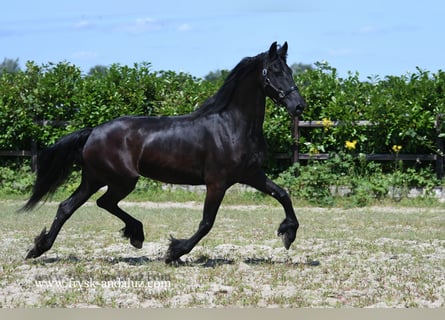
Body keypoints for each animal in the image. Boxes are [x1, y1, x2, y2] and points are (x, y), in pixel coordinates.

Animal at [21, 42, 306, 262]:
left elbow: (283, 194)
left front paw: (288, 234)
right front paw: (174, 252)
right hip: (121, 180)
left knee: (68, 206)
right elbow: (207, 222)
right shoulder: (217, 182)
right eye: (275, 71)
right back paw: (134, 234)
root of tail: (93, 132)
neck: (231, 126)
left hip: (95, 178)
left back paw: (39, 248)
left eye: (290, 70)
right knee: (102, 203)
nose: (299, 105)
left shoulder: (250, 174)